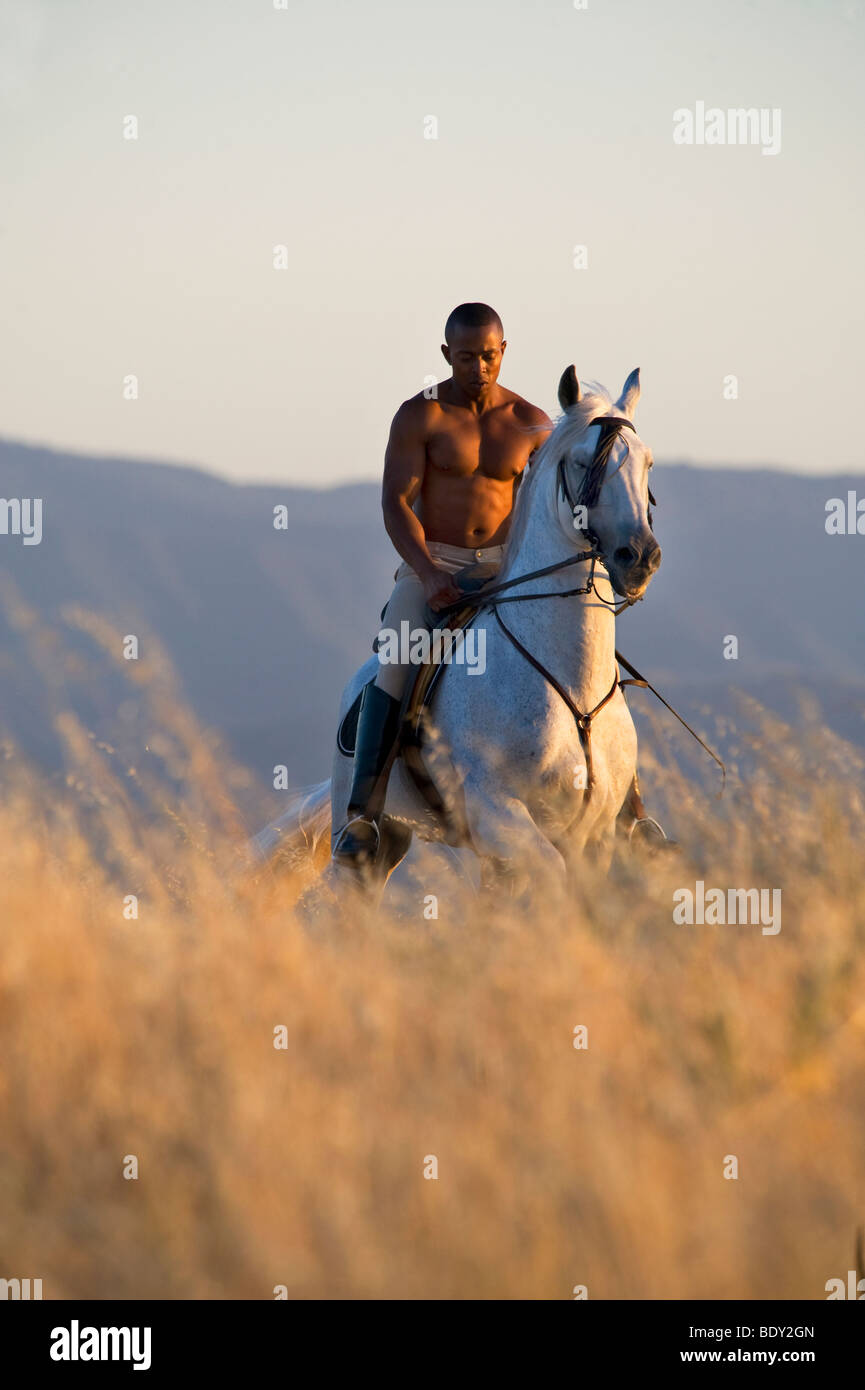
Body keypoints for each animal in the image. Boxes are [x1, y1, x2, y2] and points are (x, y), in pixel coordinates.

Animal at [250, 366, 664, 889]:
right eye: (582, 462)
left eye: (647, 463)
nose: (640, 558)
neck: (572, 686)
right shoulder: (498, 813)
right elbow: (550, 878)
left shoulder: (593, 835)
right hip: (375, 841)